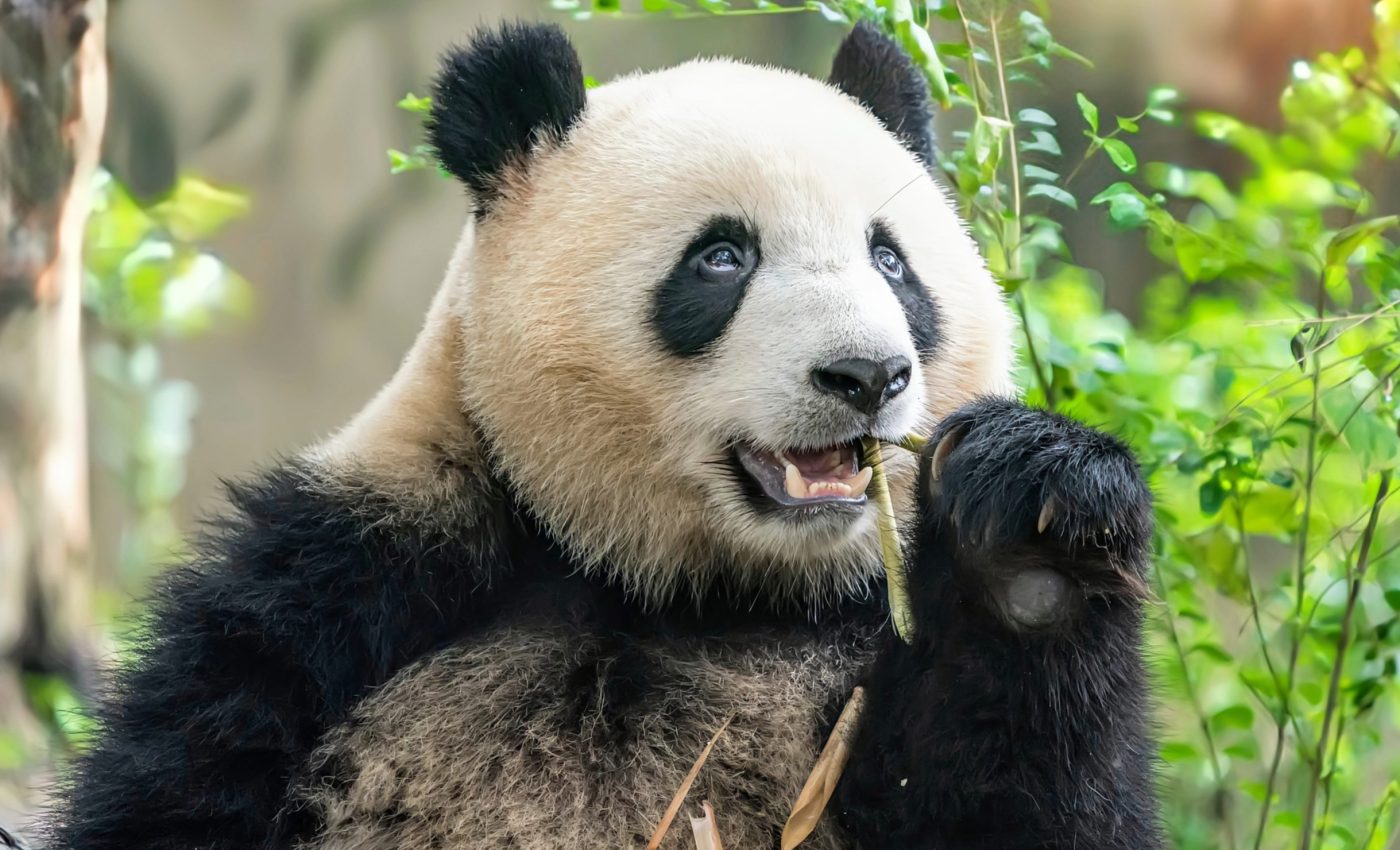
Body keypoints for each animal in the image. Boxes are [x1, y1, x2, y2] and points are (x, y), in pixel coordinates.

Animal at [49, 20, 1163, 850]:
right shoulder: (354, 572)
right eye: (721, 258)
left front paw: (1033, 529)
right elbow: (185, 775)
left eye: (890, 262)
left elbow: (1029, 801)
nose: (866, 376)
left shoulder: (856, 640)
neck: (692, 592)